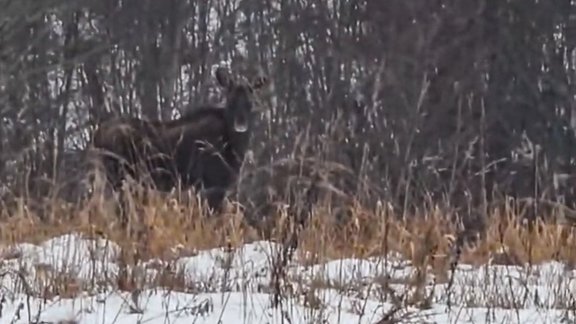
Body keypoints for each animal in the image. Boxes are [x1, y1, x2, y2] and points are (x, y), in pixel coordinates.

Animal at [90, 66, 270, 218]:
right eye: (230, 101)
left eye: (251, 103)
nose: (240, 125)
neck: (233, 148)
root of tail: (97, 135)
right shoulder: (211, 185)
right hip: (119, 177)